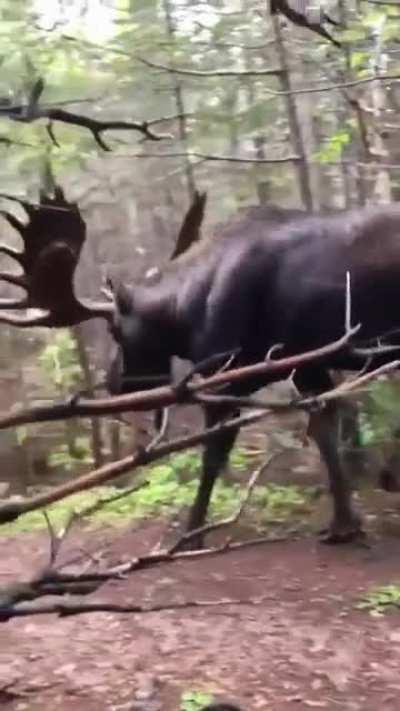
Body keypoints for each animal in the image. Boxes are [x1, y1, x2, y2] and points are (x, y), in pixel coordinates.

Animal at [0, 184, 398, 548]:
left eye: (115, 330)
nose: (112, 380)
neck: (184, 310)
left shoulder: (226, 374)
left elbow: (213, 453)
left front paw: (191, 533)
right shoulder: (303, 365)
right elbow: (326, 430)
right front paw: (344, 524)